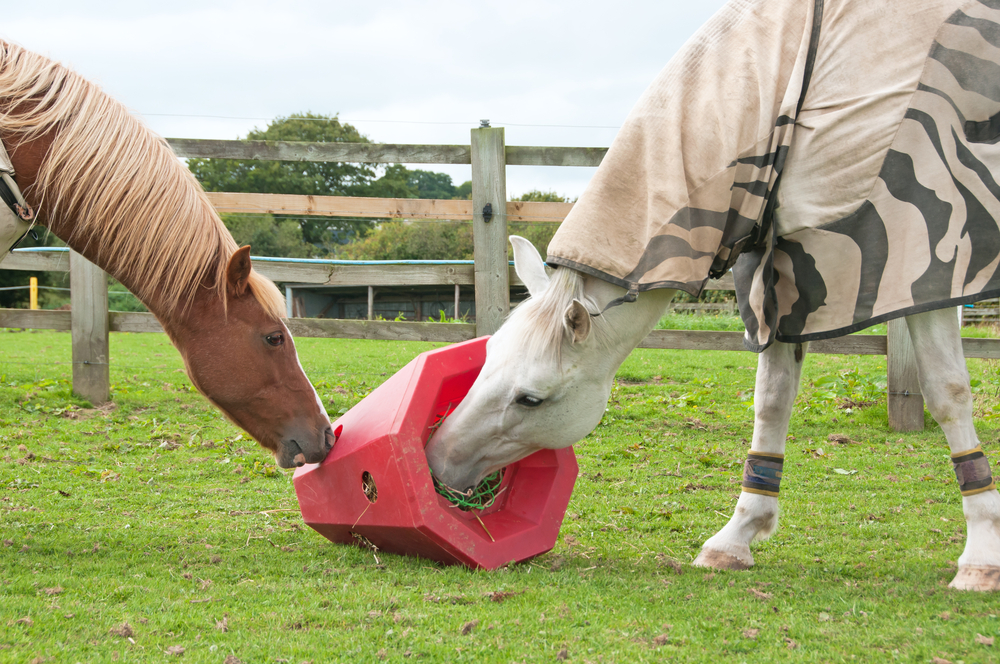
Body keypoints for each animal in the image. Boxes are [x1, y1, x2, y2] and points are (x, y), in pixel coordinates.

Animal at [426, 0, 1000, 592]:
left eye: (530, 399)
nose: (436, 459)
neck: (795, 87)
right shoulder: (785, 278)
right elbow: (772, 400)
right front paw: (737, 537)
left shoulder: (923, 266)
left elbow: (948, 392)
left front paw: (981, 557)